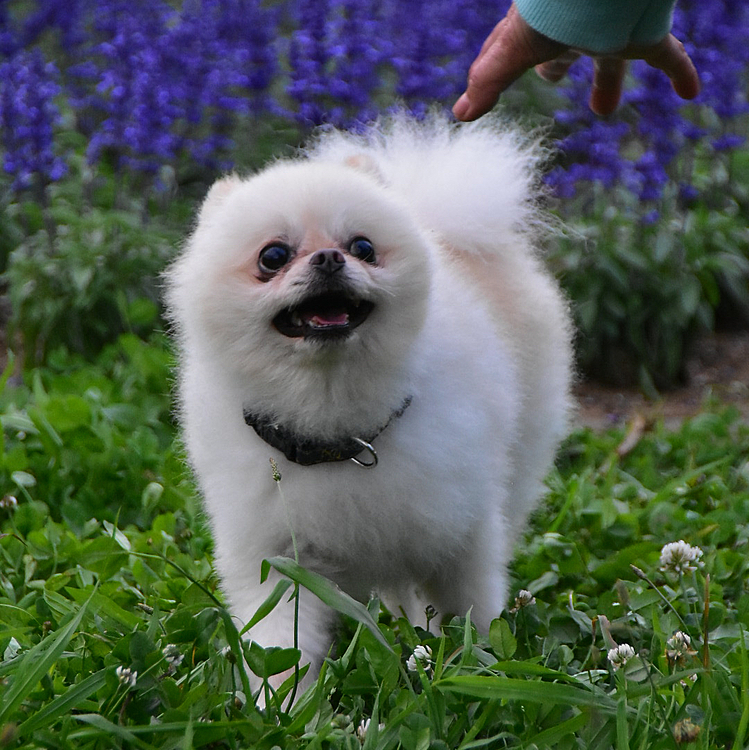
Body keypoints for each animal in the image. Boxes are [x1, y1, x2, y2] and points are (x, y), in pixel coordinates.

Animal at [165, 110, 572, 688]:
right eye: (273, 256)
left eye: (363, 247)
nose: (329, 258)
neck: (338, 429)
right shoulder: (278, 559)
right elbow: (280, 648)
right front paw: (279, 704)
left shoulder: (461, 530)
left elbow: (472, 612)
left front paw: (477, 673)